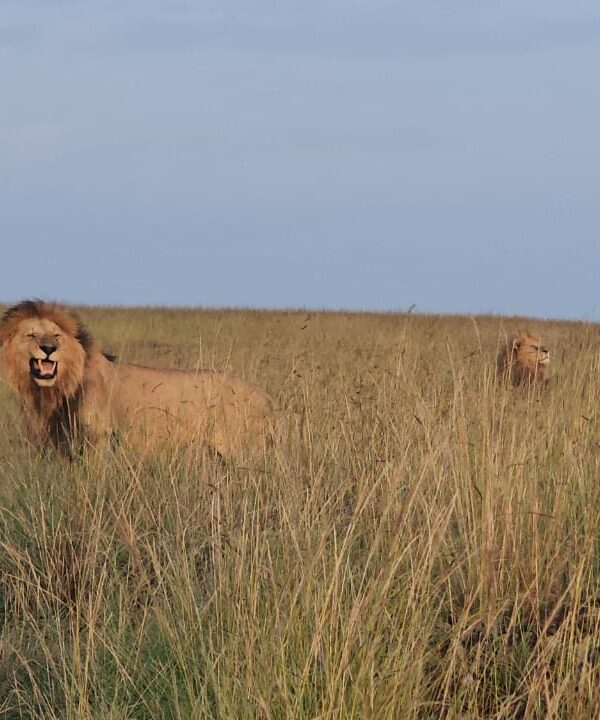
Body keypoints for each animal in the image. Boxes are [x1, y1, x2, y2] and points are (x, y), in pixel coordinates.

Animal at [0, 300, 275, 459]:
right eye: (31, 335)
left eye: (57, 335)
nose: (48, 348)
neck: (56, 390)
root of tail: (263, 396)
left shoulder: (98, 442)